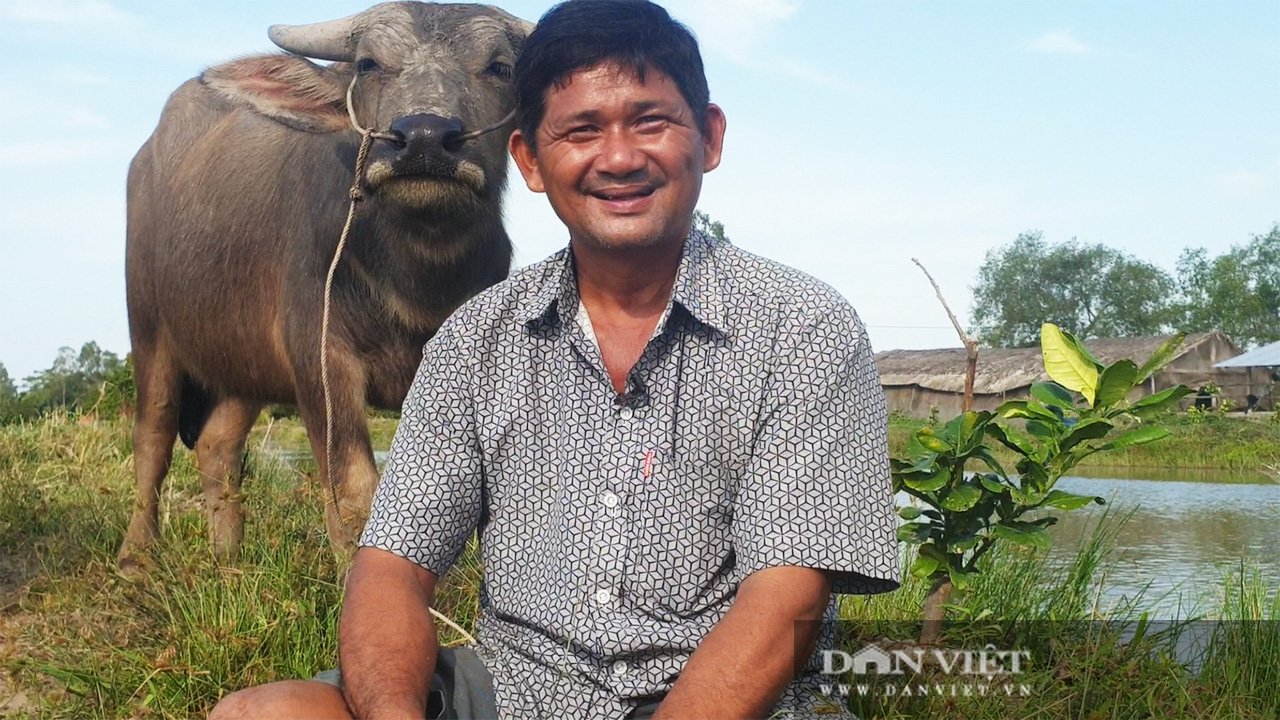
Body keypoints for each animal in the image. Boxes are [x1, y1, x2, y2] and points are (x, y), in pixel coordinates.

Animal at [115, 2, 524, 568]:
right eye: (369, 64)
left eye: (501, 67)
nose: (424, 138)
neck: (416, 277)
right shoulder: (320, 361)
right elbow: (354, 493)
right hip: (149, 326)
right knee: (152, 434)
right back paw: (136, 556)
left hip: (243, 358)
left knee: (218, 444)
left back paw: (229, 563)